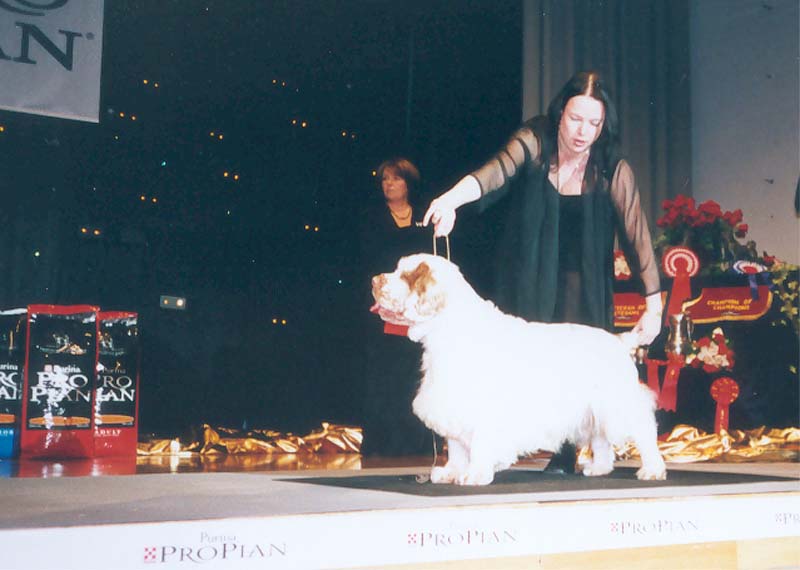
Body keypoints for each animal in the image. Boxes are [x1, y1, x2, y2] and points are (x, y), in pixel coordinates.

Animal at [370, 253, 667, 486]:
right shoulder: (451, 405)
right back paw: (600, 468)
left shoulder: (484, 408)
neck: (448, 328)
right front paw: (451, 472)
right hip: (593, 409)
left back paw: (652, 469)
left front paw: (475, 474)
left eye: (405, 275)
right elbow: (455, 446)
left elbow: (478, 444)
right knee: (601, 438)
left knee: (644, 430)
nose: (374, 280)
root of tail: (619, 340)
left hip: (618, 402)